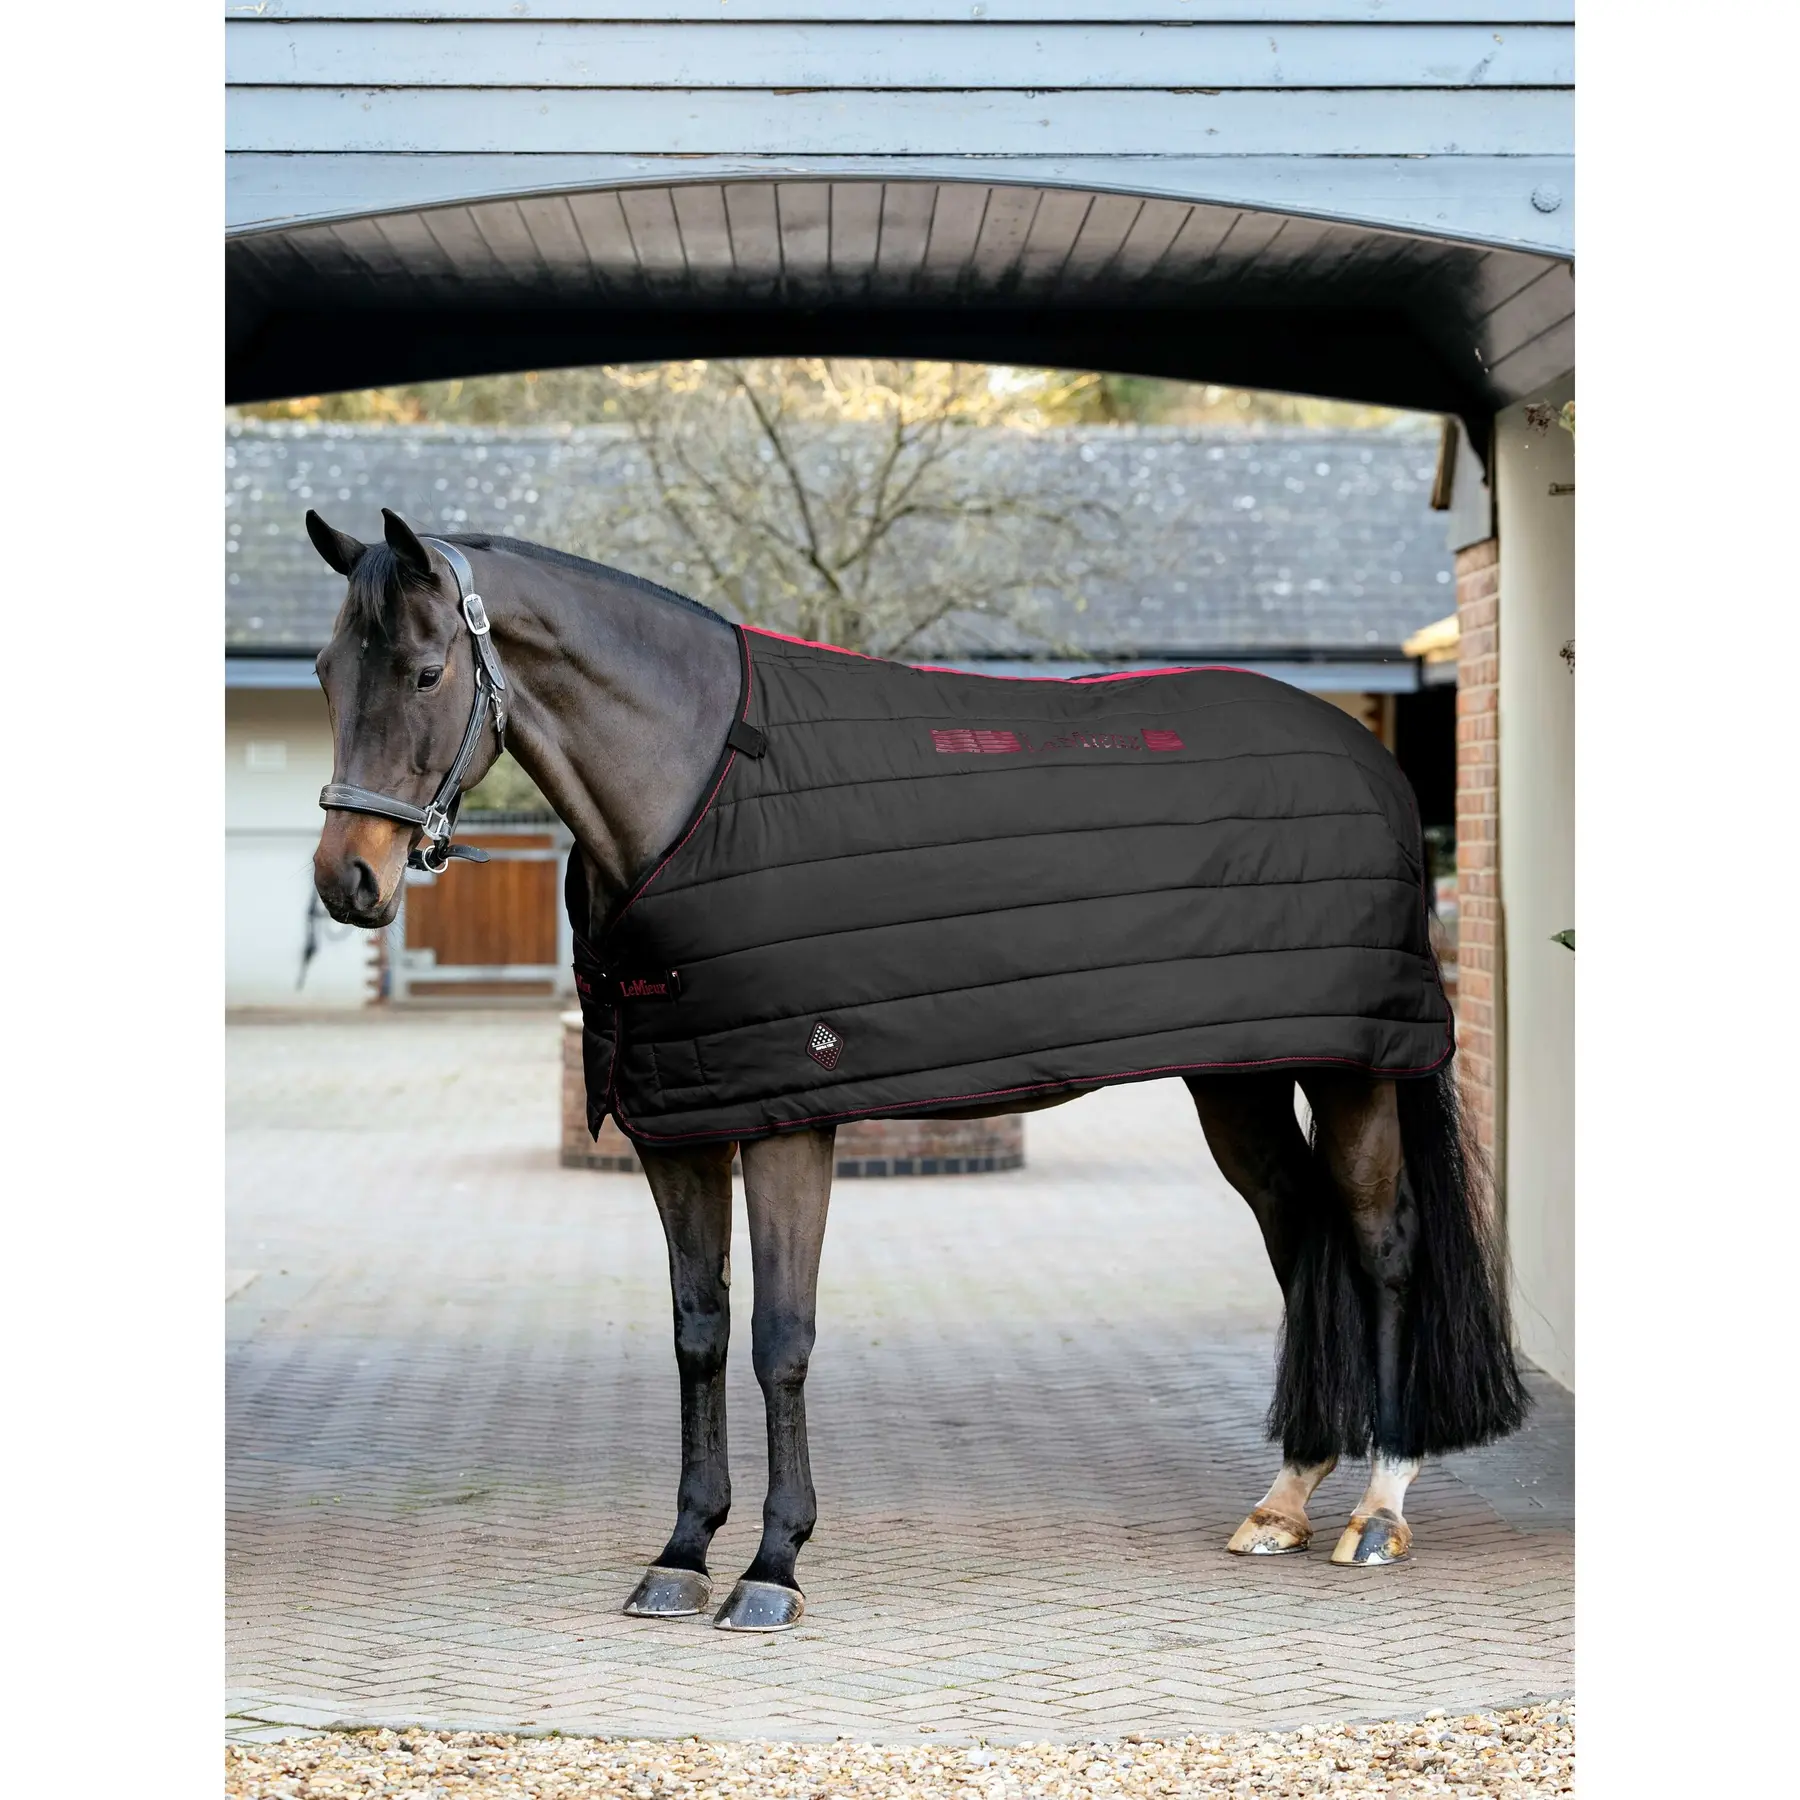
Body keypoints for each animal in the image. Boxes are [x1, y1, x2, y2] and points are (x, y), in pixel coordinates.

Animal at [305, 507, 1529, 1633]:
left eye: (425, 672)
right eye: (323, 672)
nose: (347, 882)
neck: (699, 790)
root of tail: (1371, 762)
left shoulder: (789, 1115)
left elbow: (780, 1340)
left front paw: (772, 1567)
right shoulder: (679, 1124)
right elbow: (699, 1333)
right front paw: (683, 1551)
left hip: (1357, 1071)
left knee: (1381, 1246)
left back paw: (1379, 1508)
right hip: (1241, 1080)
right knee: (1298, 1236)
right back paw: (1284, 1500)